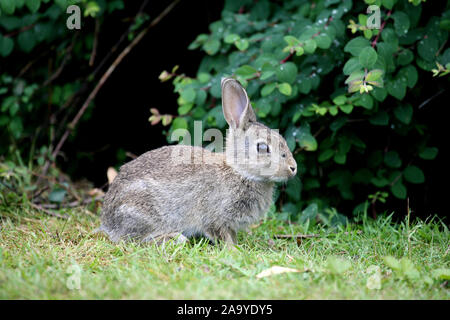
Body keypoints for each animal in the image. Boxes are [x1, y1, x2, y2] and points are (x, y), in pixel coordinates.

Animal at [100, 77, 300, 245]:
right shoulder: (215, 218)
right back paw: (174, 238)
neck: (239, 171)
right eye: (263, 148)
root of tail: (107, 222)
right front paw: (234, 250)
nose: (293, 168)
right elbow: (221, 235)